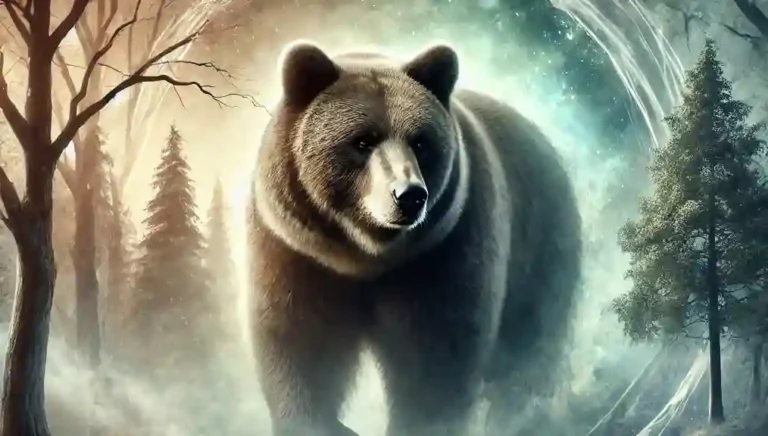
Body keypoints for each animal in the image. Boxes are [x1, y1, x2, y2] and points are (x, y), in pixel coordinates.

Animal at [249, 41, 582, 436]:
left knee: (531, 350)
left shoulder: (445, 249)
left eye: (420, 142)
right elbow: (300, 338)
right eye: (363, 140)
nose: (409, 195)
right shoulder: (296, 250)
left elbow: (435, 356)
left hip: (543, 243)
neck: (366, 256)